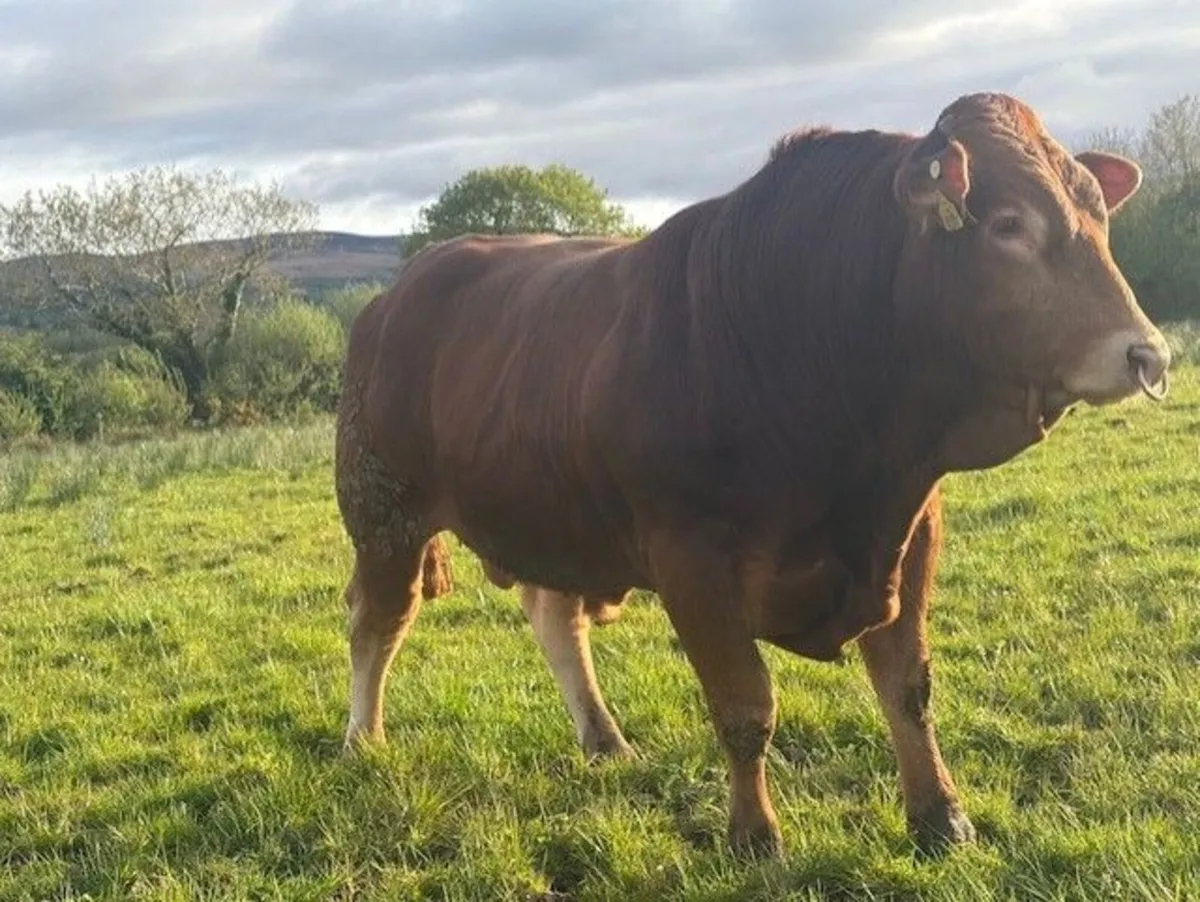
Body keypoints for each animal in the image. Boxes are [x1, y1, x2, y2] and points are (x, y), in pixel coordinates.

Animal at [333, 92, 1170, 858]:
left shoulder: (912, 532)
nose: (1148, 354)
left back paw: (604, 739)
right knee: (378, 624)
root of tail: (395, 294)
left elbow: (909, 689)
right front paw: (754, 834)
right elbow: (745, 707)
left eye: (1099, 215)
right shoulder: (694, 563)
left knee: (553, 617)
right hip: (384, 513)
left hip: (552, 513)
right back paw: (363, 738)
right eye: (1007, 225)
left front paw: (940, 815)